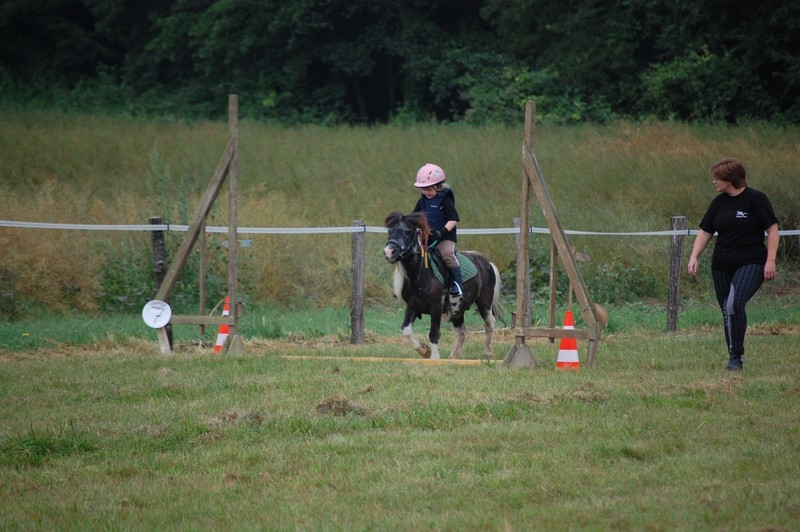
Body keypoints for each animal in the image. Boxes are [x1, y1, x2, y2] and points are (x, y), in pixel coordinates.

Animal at [383, 211, 503, 360]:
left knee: (489, 323)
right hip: (457, 309)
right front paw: (425, 350)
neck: (420, 276)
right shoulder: (412, 306)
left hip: (484, 303)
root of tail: (487, 262)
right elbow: (406, 330)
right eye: (390, 231)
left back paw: (488, 353)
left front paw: (434, 358)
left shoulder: (436, 307)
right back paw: (454, 356)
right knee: (461, 331)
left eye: (407, 232)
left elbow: (434, 334)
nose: (388, 252)